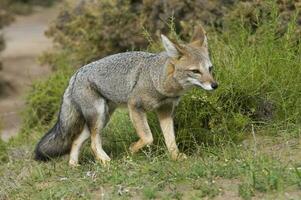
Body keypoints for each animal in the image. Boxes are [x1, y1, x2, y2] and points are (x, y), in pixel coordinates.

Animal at [35, 24, 217, 166]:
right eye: (195, 71)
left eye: (210, 69)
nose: (215, 85)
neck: (158, 80)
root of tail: (75, 75)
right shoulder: (135, 106)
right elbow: (148, 137)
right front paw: (131, 150)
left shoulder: (165, 111)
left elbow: (170, 139)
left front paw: (175, 157)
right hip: (99, 117)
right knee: (93, 144)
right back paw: (105, 161)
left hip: (103, 118)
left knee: (76, 141)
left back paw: (74, 165)